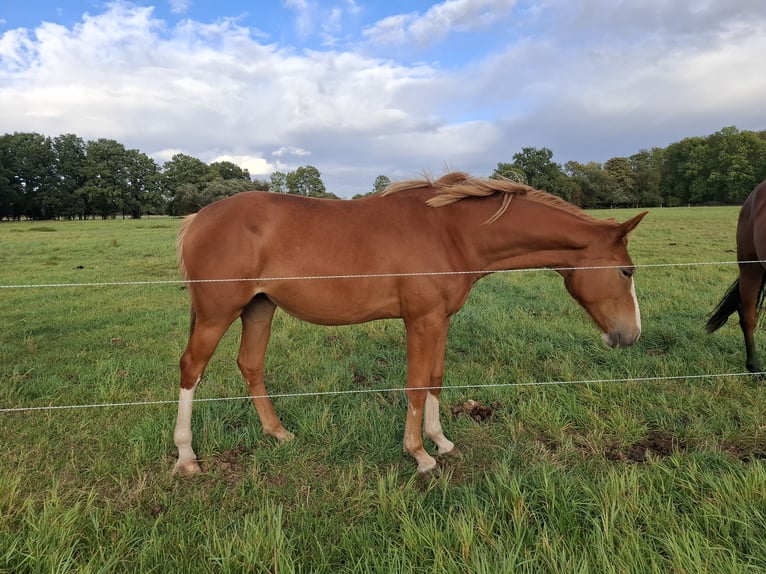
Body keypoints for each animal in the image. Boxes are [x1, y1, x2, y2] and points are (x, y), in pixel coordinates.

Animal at [173, 172, 647, 475]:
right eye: (626, 271)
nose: (630, 335)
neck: (452, 232)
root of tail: (199, 218)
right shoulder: (420, 321)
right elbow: (416, 385)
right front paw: (420, 455)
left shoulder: (440, 320)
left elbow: (435, 379)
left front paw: (442, 441)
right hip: (217, 314)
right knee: (191, 369)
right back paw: (187, 457)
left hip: (259, 308)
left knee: (250, 365)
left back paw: (278, 433)